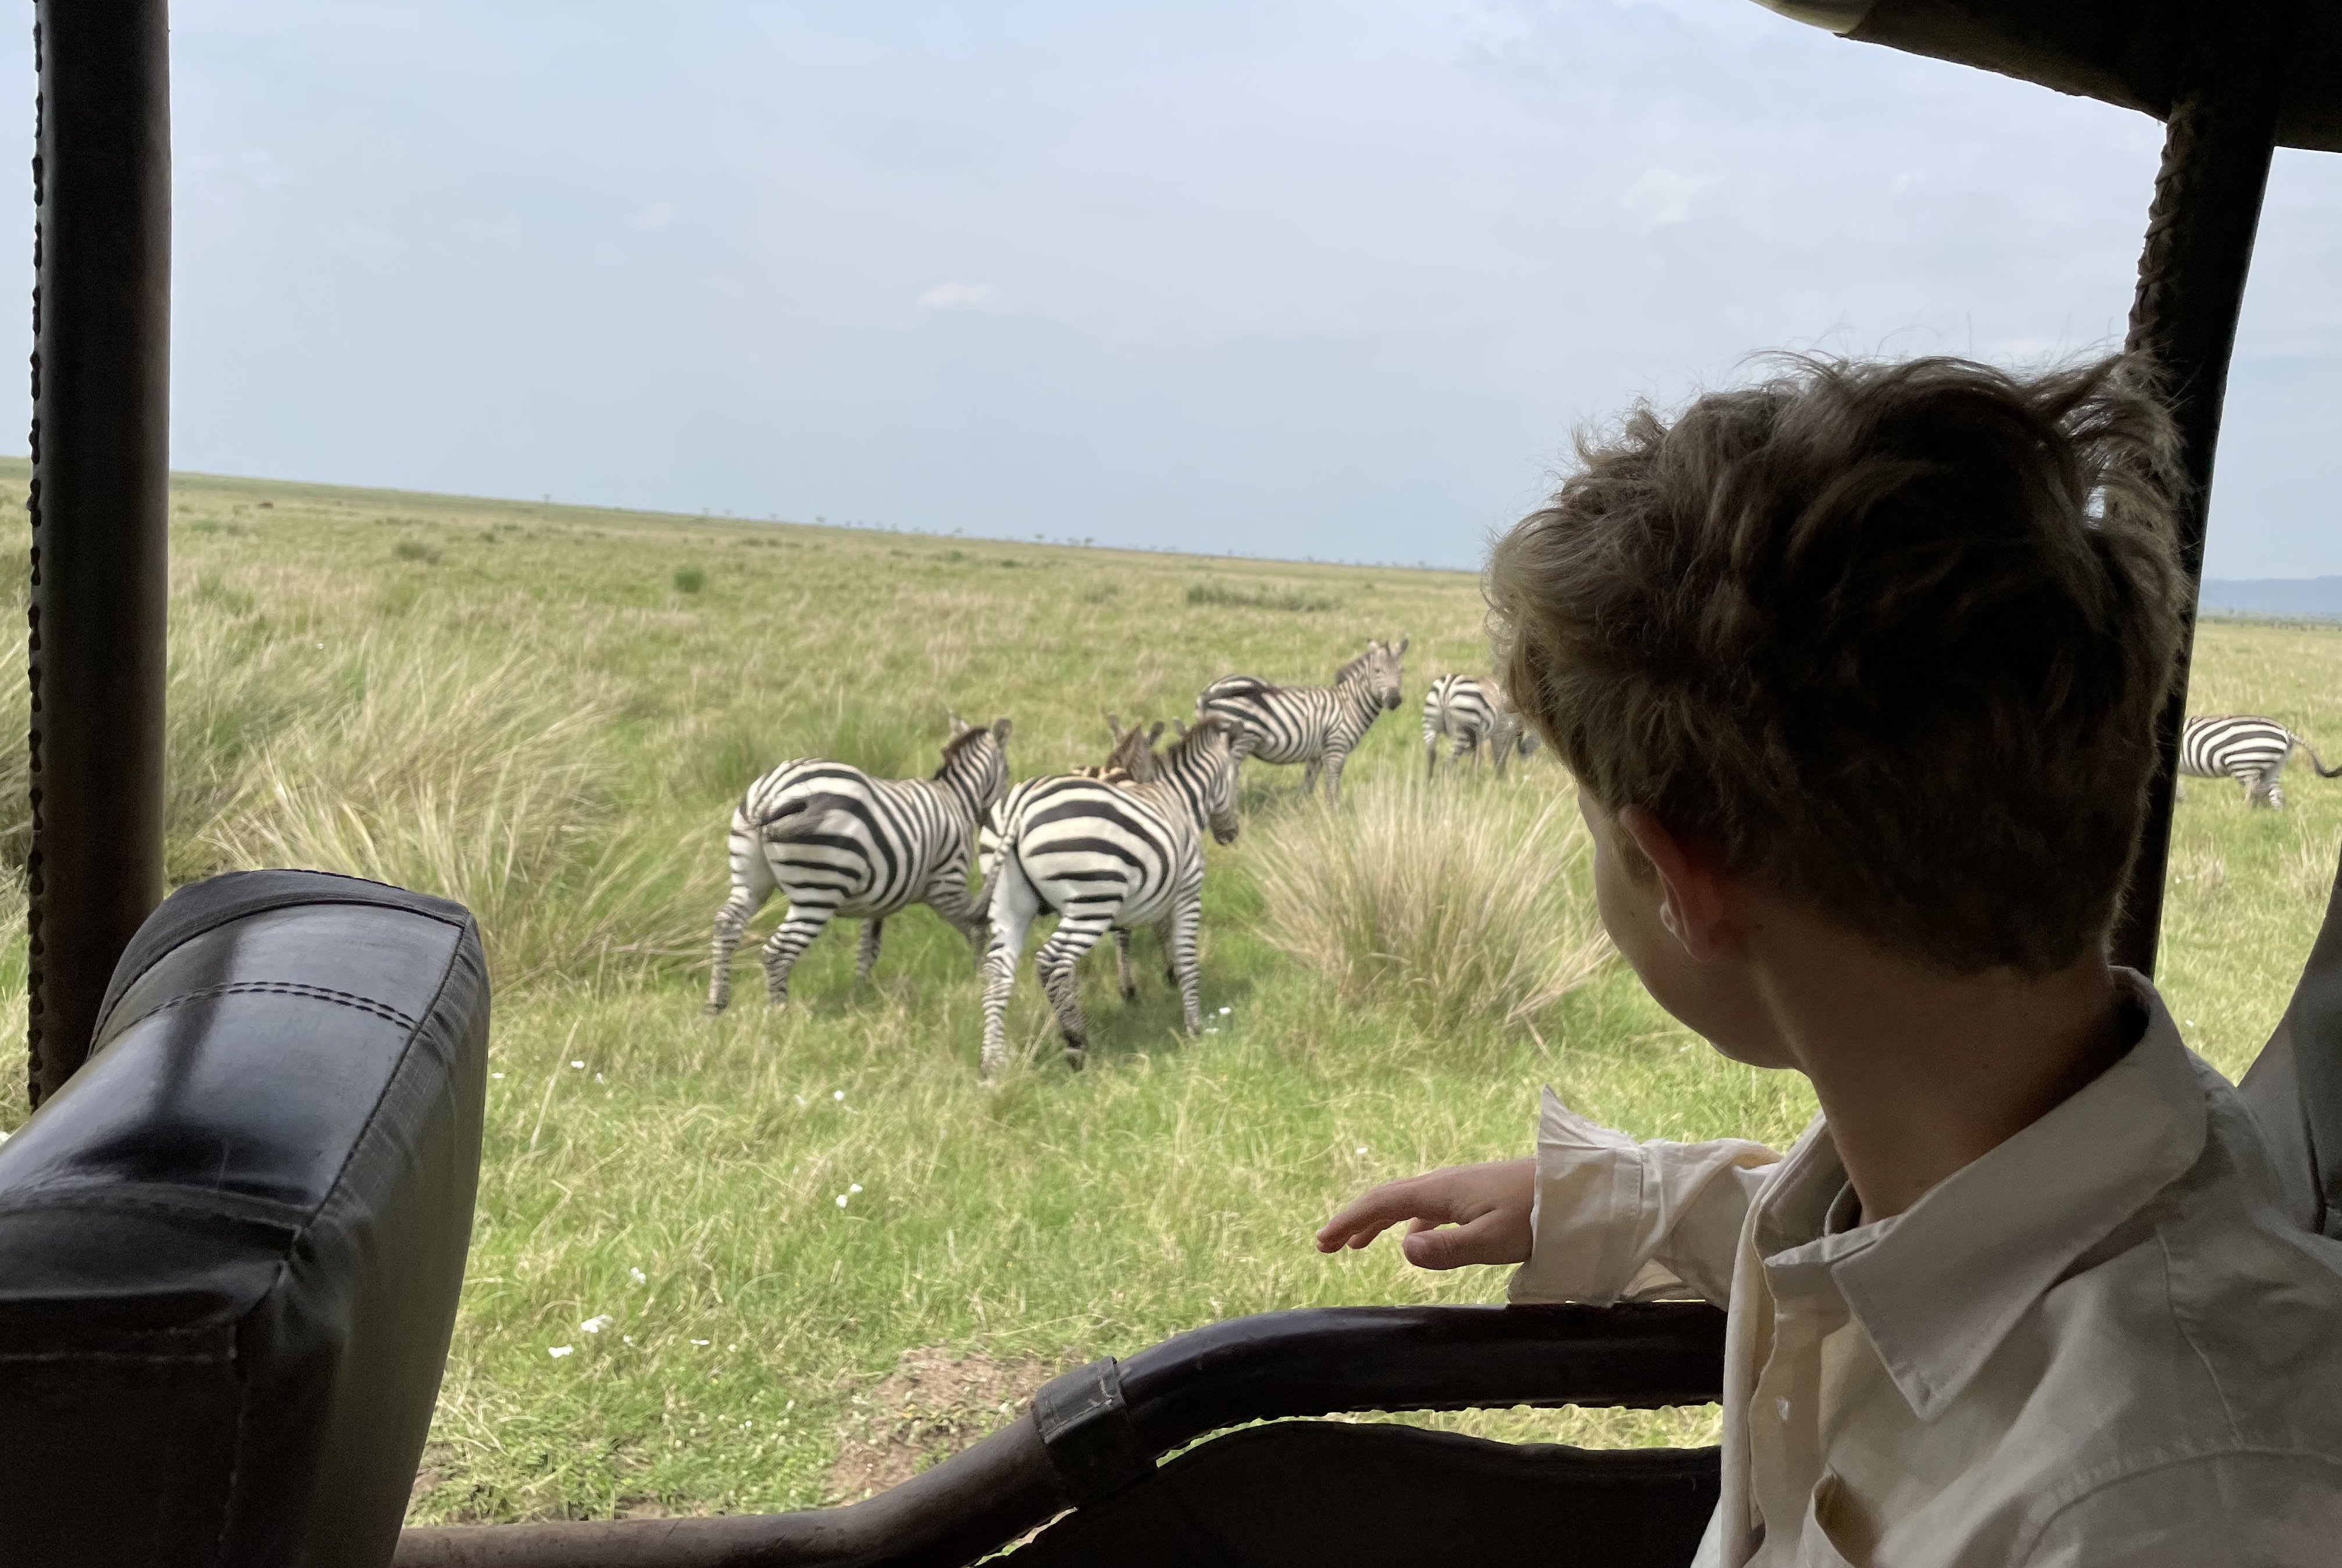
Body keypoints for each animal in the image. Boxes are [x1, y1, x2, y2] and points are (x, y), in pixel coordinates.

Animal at [702, 716, 1016, 1020]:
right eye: (1009, 773)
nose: (989, 820)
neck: (957, 799)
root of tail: (770, 796)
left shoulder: (881, 896)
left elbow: (868, 949)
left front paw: (859, 994)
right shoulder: (947, 882)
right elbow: (975, 927)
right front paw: (979, 977)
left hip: (750, 880)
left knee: (726, 924)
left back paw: (716, 1005)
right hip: (818, 888)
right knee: (777, 952)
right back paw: (780, 1016)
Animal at [979, 716, 1245, 1076]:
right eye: (1236, 775)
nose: (1231, 834)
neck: (1180, 799)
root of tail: (1018, 808)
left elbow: (1136, 938)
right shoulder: (1187, 891)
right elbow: (1187, 958)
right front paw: (1194, 1026)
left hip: (1008, 903)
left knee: (998, 971)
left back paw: (993, 1063)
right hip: (1091, 902)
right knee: (1052, 962)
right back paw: (1076, 1044)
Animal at [1199, 636, 1395, 809]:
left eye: (1400, 671)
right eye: (1377, 671)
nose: (1395, 700)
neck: (1349, 703)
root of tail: (1210, 691)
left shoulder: (1318, 752)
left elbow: (1309, 782)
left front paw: (1302, 810)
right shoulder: (1336, 747)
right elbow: (1330, 783)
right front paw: (1333, 814)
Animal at [1424, 669, 1536, 781]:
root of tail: (1448, 687)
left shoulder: (1480, 735)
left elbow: (1478, 758)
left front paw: (1475, 779)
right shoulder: (1501, 730)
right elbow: (1498, 756)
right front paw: (1497, 780)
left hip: (1430, 726)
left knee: (1432, 757)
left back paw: (1430, 782)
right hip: (1461, 731)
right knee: (1448, 762)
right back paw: (1447, 783)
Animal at [2173, 716, 2342, 809]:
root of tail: (2287, 732)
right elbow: (2179, 787)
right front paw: (2183, 803)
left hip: (2243, 765)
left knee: (2253, 792)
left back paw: (2243, 815)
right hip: (2275, 766)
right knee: (2275, 792)